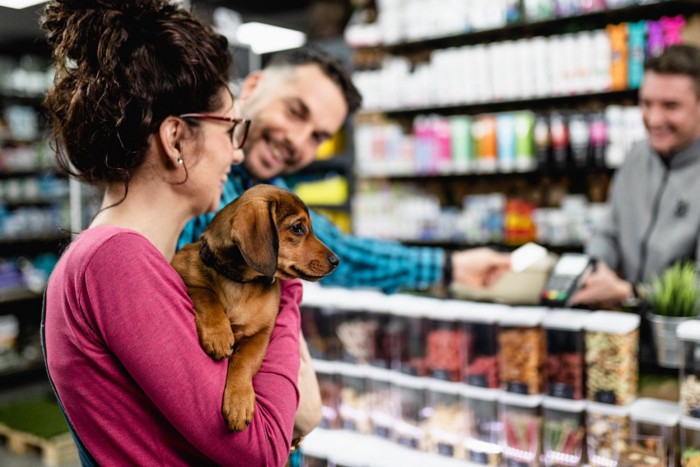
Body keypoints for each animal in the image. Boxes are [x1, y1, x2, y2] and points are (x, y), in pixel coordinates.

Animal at [174, 185, 340, 434]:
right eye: (298, 228)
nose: (336, 261)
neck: (240, 283)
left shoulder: (261, 334)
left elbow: (243, 360)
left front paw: (238, 402)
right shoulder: (185, 271)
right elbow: (207, 294)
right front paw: (219, 335)